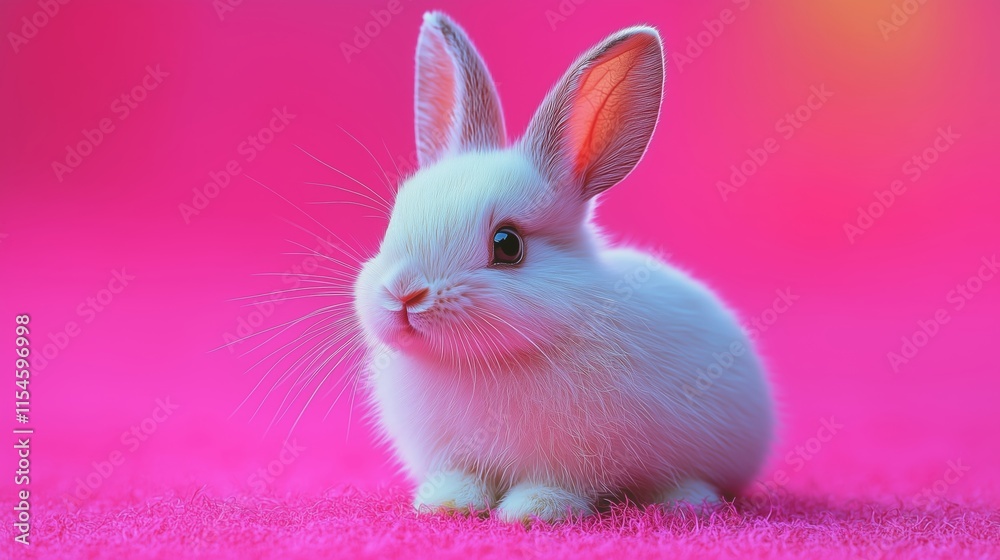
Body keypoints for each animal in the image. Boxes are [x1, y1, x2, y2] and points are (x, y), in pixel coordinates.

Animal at [352, 11, 775, 523]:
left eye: (507, 244)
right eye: (396, 218)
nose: (404, 294)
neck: (476, 362)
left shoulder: (573, 459)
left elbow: (553, 483)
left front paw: (531, 511)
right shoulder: (450, 453)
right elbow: (461, 476)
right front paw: (446, 505)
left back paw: (684, 501)